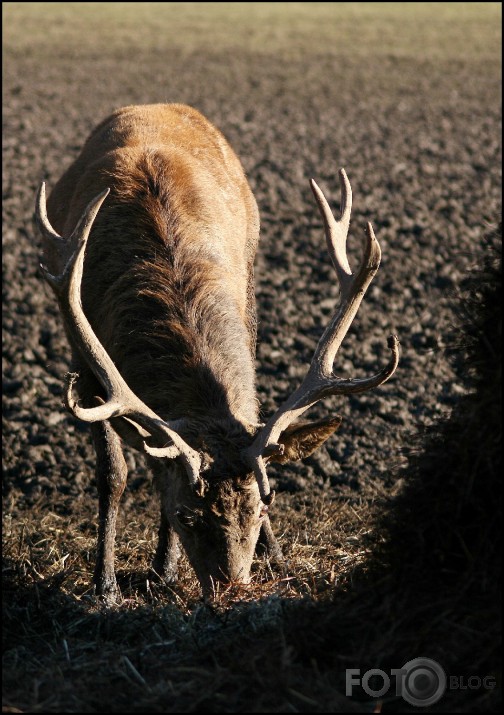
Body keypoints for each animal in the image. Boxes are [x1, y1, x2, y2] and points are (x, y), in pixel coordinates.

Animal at [35, 103, 400, 600]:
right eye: (187, 516)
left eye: (263, 506)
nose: (233, 592)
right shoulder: (83, 359)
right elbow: (115, 473)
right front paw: (106, 584)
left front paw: (173, 570)